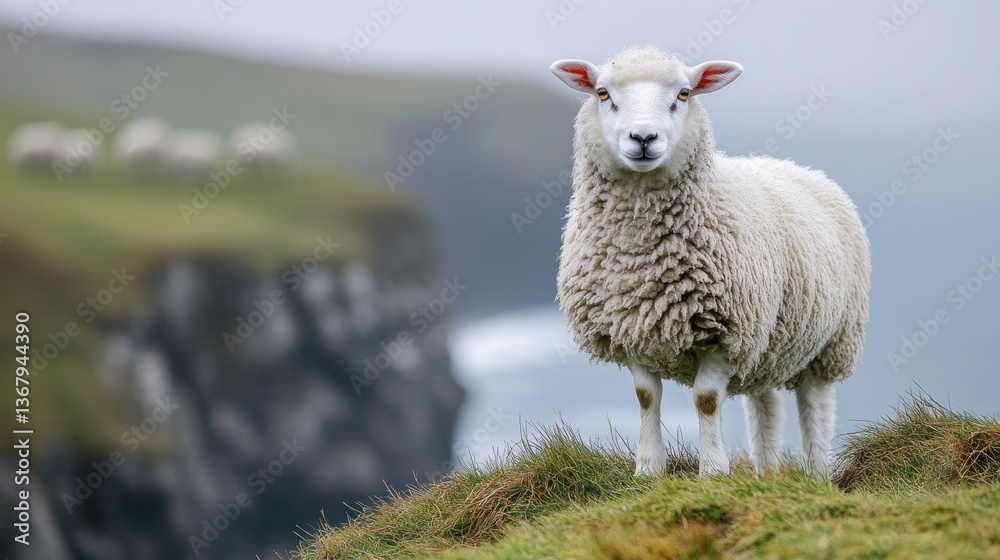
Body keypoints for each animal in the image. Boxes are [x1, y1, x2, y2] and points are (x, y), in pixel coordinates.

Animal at [550, 47, 870, 479]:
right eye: (602, 93)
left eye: (684, 94)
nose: (644, 138)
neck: (640, 256)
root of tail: (795, 166)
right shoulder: (630, 328)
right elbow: (646, 396)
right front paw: (648, 470)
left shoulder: (724, 331)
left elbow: (706, 400)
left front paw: (713, 472)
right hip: (769, 340)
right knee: (766, 405)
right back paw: (765, 473)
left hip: (831, 339)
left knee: (815, 403)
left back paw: (818, 474)